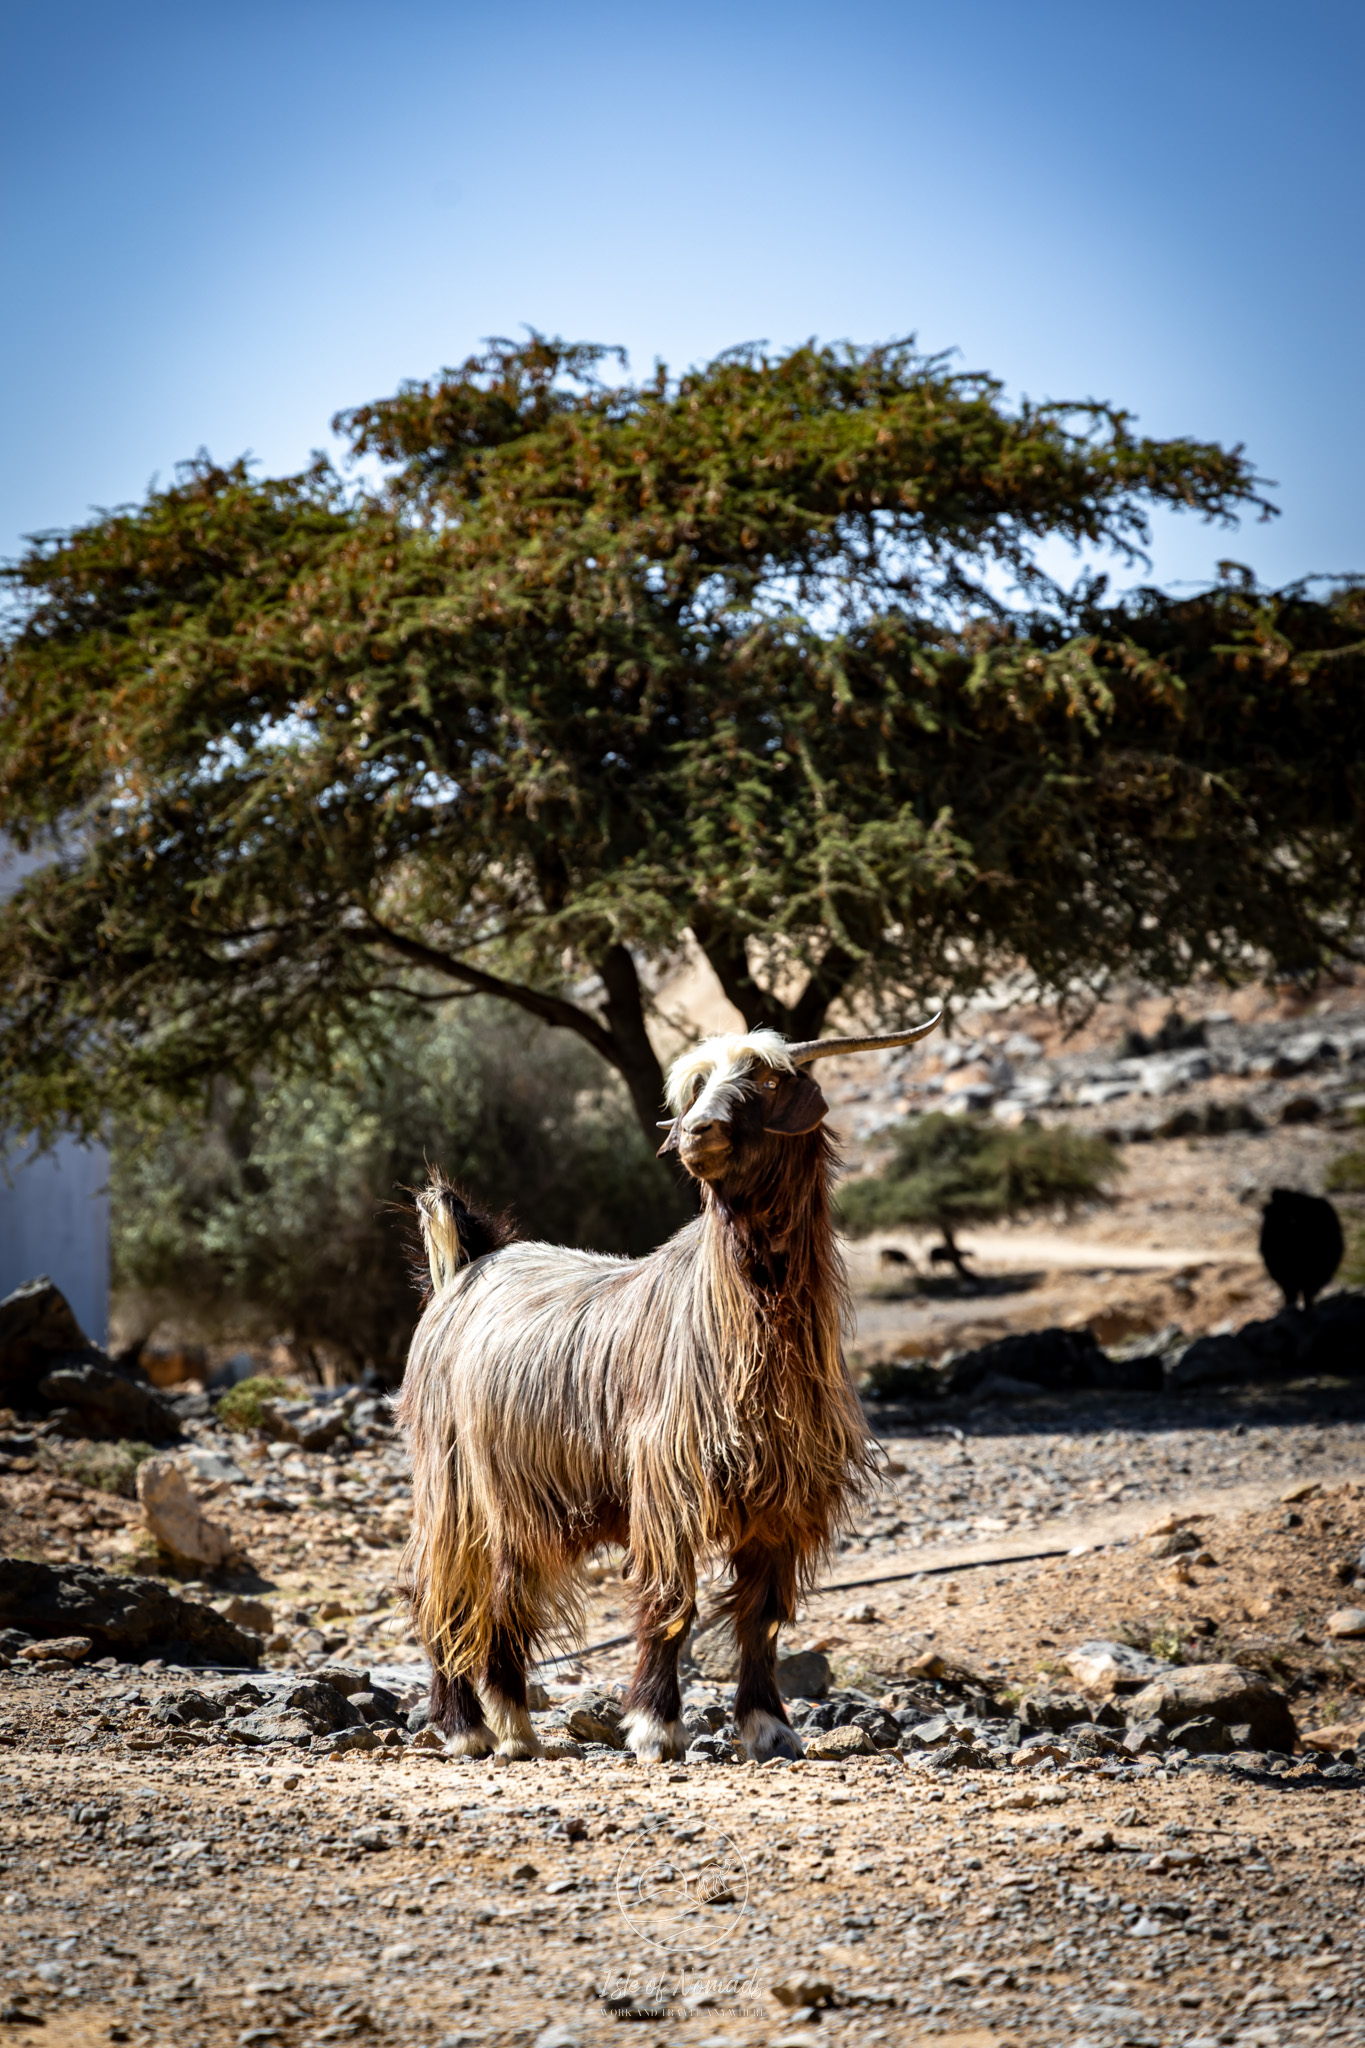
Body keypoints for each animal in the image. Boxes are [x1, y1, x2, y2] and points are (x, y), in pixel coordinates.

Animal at [397, 1015, 940, 1764]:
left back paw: (510, 1724)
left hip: (518, 1499)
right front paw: (655, 1726)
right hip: (452, 1484)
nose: (696, 1134)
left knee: (503, 1591)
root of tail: (468, 1266)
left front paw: (768, 1726)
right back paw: (470, 1726)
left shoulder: (782, 1496)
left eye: (764, 1079)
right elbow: (669, 1604)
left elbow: (762, 1616)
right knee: (445, 1591)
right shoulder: (665, 1483)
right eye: (697, 1085)